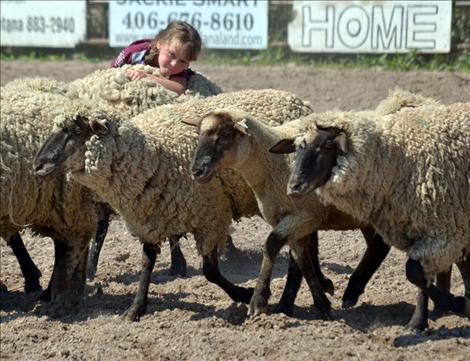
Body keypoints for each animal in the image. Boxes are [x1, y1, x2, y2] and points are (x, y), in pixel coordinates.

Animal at [32, 88, 316, 320]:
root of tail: (300, 101)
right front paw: (135, 309)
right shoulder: (149, 219)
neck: (153, 156)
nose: (38, 165)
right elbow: (146, 264)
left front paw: (243, 294)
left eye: (77, 131)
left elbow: (210, 271)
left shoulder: (211, 217)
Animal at [274, 101, 468, 330]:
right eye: (298, 147)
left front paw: (455, 304)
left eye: (328, 145)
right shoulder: (425, 230)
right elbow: (419, 275)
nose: (294, 187)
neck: (397, 160)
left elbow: (415, 272)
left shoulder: (441, 230)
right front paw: (419, 322)